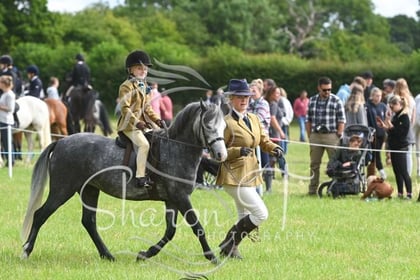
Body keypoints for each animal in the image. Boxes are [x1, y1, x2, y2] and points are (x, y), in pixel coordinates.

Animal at [21, 102, 228, 262]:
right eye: (208, 126)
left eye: (224, 126)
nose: (221, 154)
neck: (176, 148)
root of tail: (61, 142)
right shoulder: (181, 197)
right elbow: (197, 227)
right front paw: (212, 257)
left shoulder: (173, 200)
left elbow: (170, 231)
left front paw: (145, 254)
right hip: (62, 190)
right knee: (40, 215)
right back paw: (26, 251)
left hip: (89, 190)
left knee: (89, 221)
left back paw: (107, 255)